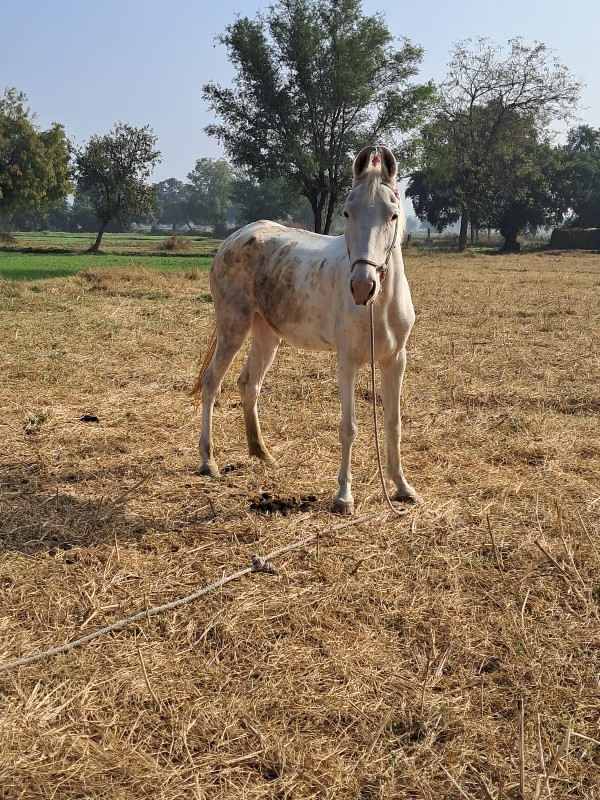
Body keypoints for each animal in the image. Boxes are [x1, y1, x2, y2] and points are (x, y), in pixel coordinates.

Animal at [191, 146, 418, 516]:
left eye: (393, 215)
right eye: (347, 212)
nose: (362, 287)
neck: (379, 306)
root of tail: (234, 238)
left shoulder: (395, 359)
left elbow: (393, 424)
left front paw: (402, 488)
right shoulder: (347, 361)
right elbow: (348, 428)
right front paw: (343, 497)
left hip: (266, 333)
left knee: (249, 384)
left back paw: (262, 454)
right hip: (233, 327)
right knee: (212, 383)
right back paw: (208, 462)